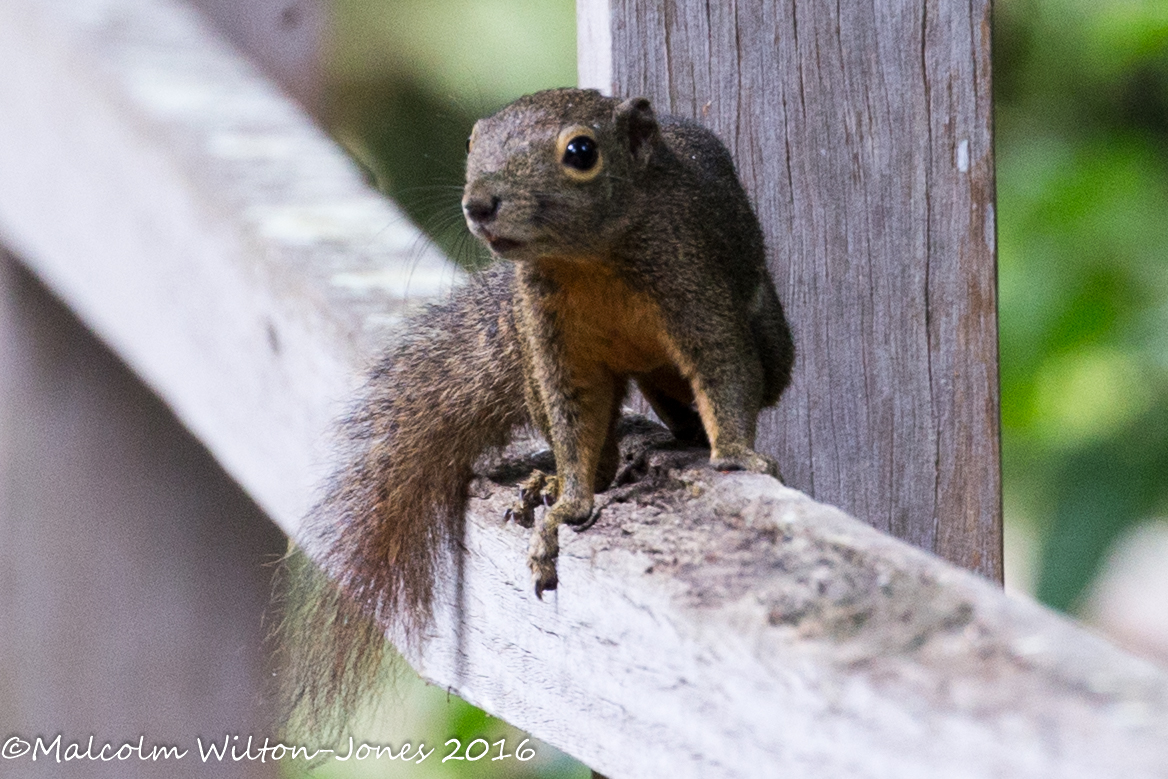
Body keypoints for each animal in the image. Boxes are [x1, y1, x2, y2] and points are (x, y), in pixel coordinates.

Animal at [280, 89, 794, 738]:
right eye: (471, 142)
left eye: (581, 152)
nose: (478, 204)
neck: (589, 258)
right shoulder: (551, 340)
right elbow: (573, 423)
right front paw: (568, 501)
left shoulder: (696, 284)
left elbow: (725, 368)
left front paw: (738, 454)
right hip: (531, 352)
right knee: (596, 441)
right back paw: (552, 482)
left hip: (762, 338)